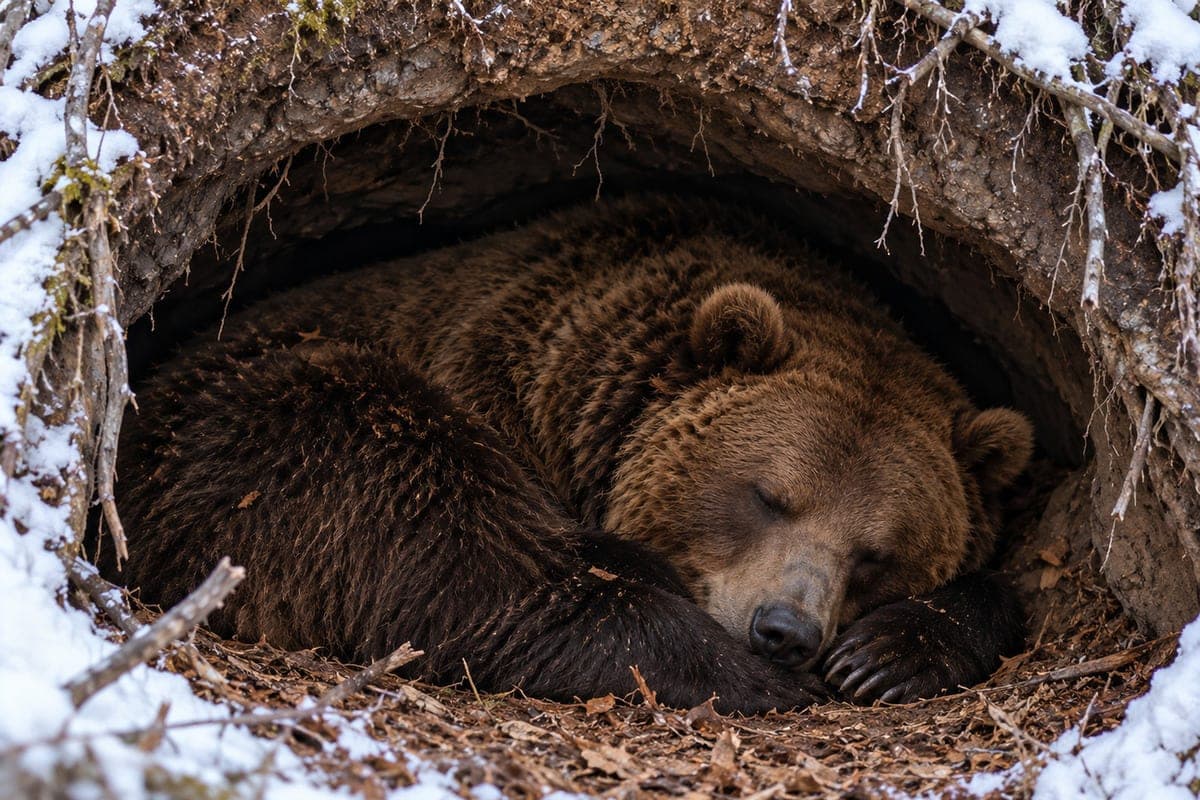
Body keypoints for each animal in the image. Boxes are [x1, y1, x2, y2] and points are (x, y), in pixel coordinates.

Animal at [107, 196, 1032, 714]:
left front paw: (887, 655)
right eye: (768, 496)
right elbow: (464, 571)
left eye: (878, 554)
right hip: (265, 423)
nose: (786, 631)